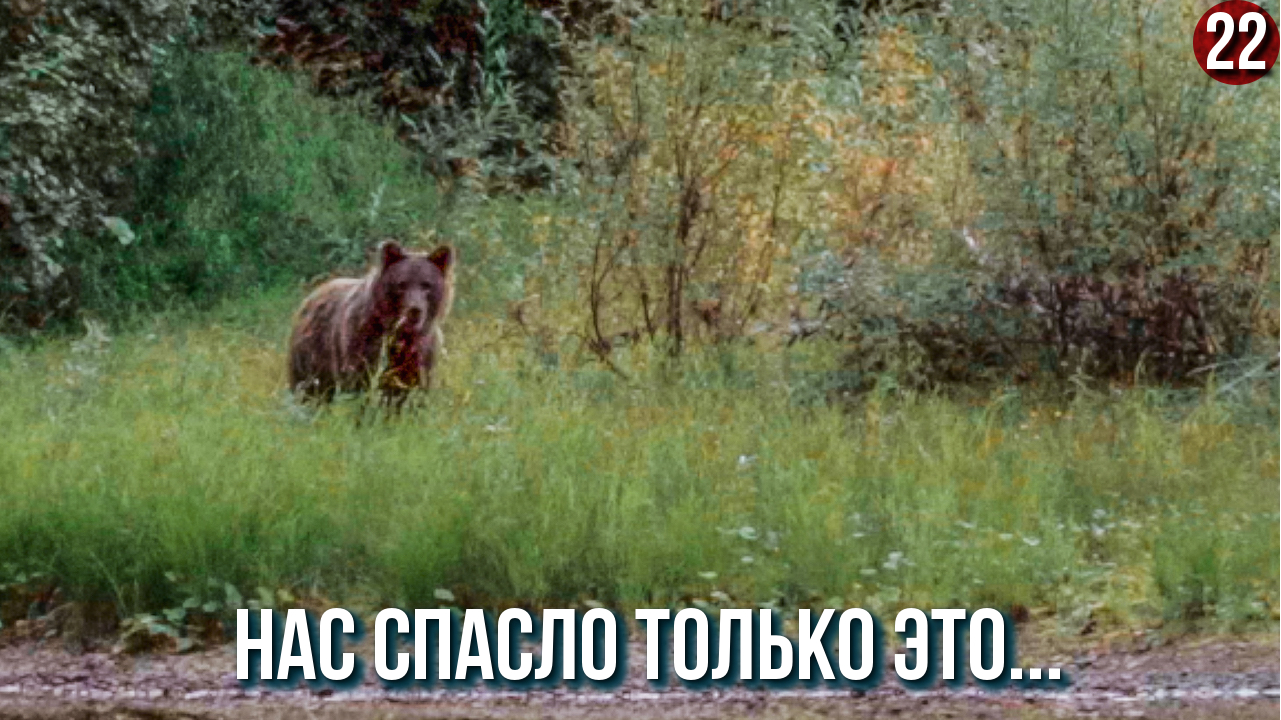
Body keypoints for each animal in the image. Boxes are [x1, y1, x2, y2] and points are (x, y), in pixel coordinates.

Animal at [287, 239, 456, 408]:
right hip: (311, 358)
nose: (415, 310)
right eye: (402, 284)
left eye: (426, 285)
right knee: (308, 391)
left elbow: (411, 394)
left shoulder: (420, 357)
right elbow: (359, 386)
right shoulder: (362, 344)